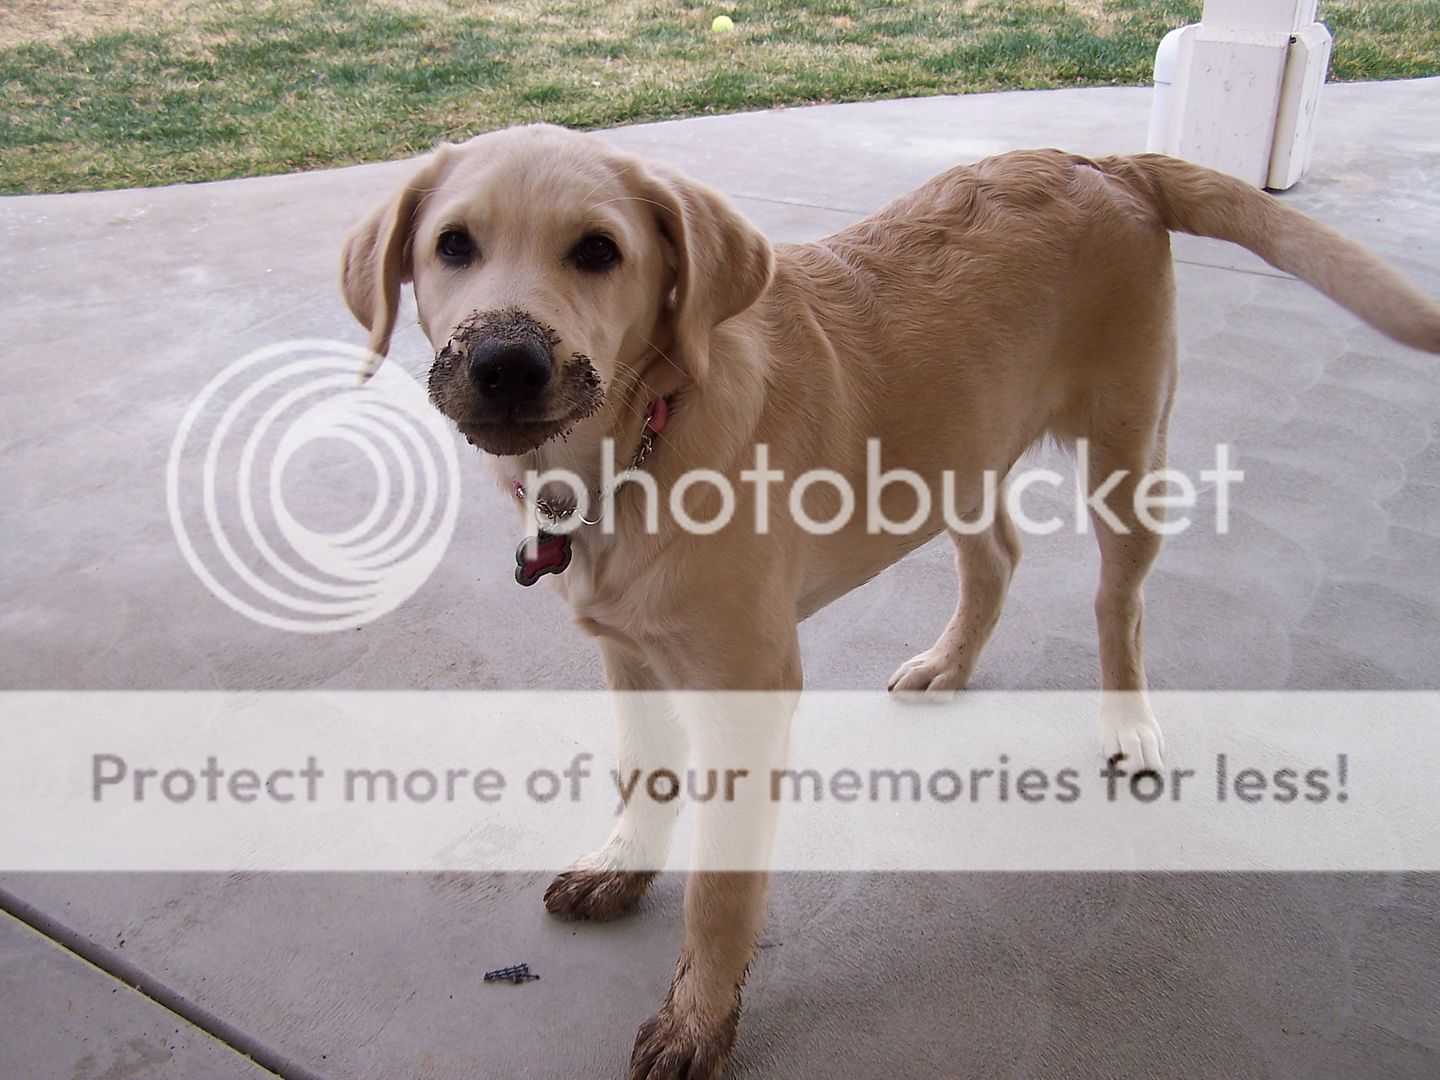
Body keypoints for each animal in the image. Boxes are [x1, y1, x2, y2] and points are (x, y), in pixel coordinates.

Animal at [342, 122, 1440, 1077]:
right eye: (453, 245)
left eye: (599, 252)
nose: (506, 364)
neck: (641, 442)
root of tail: (1104, 161)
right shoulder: (627, 655)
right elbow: (646, 777)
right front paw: (625, 863)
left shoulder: (748, 689)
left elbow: (722, 893)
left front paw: (700, 1019)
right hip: (964, 444)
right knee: (997, 556)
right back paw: (951, 662)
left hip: (1127, 449)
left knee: (1116, 603)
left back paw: (1127, 725)